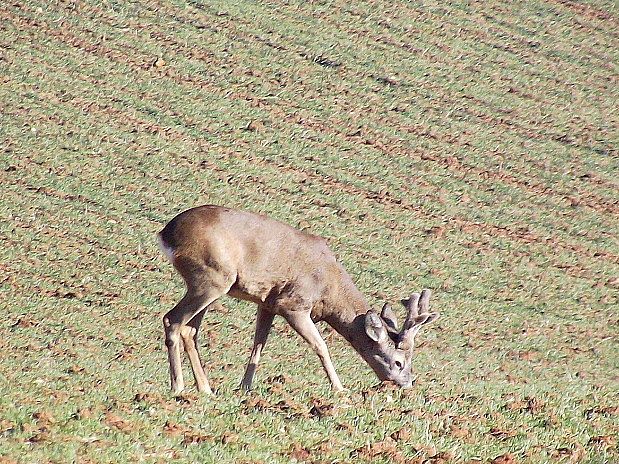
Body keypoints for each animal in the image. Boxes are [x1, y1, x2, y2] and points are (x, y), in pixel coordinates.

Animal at [160, 205, 440, 394]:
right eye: (399, 362)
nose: (408, 383)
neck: (330, 288)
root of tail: (167, 232)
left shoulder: (267, 303)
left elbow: (259, 345)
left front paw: (245, 387)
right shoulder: (294, 304)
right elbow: (321, 346)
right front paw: (340, 390)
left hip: (209, 284)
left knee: (190, 330)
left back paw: (205, 389)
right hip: (212, 278)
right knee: (172, 320)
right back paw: (178, 387)